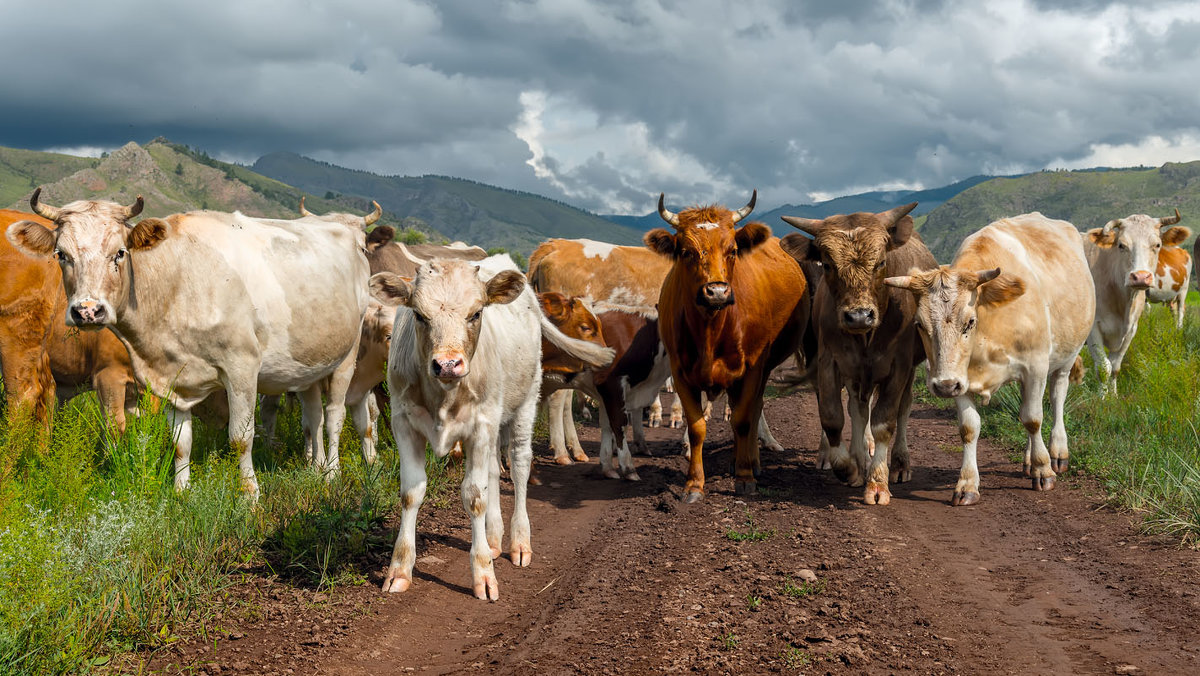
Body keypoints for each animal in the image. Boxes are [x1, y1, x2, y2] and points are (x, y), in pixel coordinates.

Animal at [369, 256, 614, 600]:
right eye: (418, 314)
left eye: (476, 313)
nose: (447, 364)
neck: (444, 395)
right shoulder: (404, 424)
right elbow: (411, 494)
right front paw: (400, 569)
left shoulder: (480, 425)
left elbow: (474, 496)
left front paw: (483, 572)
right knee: (493, 472)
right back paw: (495, 537)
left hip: (524, 403)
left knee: (519, 466)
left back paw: (519, 541)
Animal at [648, 190, 806, 501]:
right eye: (686, 252)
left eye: (732, 250)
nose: (717, 291)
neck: (711, 329)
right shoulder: (680, 372)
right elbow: (697, 427)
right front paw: (694, 484)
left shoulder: (752, 369)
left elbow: (743, 419)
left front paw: (745, 478)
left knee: (754, 410)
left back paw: (751, 462)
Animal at [782, 204, 940, 504]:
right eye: (828, 265)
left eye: (880, 263)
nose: (858, 316)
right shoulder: (830, 360)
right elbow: (833, 416)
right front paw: (848, 468)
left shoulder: (899, 367)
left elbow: (884, 422)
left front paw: (877, 483)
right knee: (858, 408)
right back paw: (858, 457)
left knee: (903, 408)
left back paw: (899, 464)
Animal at [1084, 208, 1185, 393]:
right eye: (1121, 245)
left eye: (1157, 245)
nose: (1140, 277)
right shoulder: (1093, 329)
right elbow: (1103, 368)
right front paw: (1101, 399)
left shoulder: (1131, 329)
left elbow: (1115, 367)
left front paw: (1113, 396)